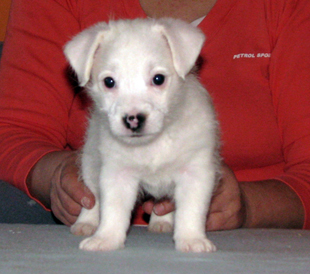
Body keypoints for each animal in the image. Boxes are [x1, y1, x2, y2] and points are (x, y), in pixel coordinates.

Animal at [65, 17, 220, 253]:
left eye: (158, 79)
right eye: (109, 82)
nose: (133, 119)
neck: (153, 144)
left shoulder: (195, 173)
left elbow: (191, 211)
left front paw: (192, 239)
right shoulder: (117, 174)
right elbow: (112, 210)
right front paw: (107, 238)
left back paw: (162, 221)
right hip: (90, 163)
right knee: (93, 196)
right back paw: (86, 223)